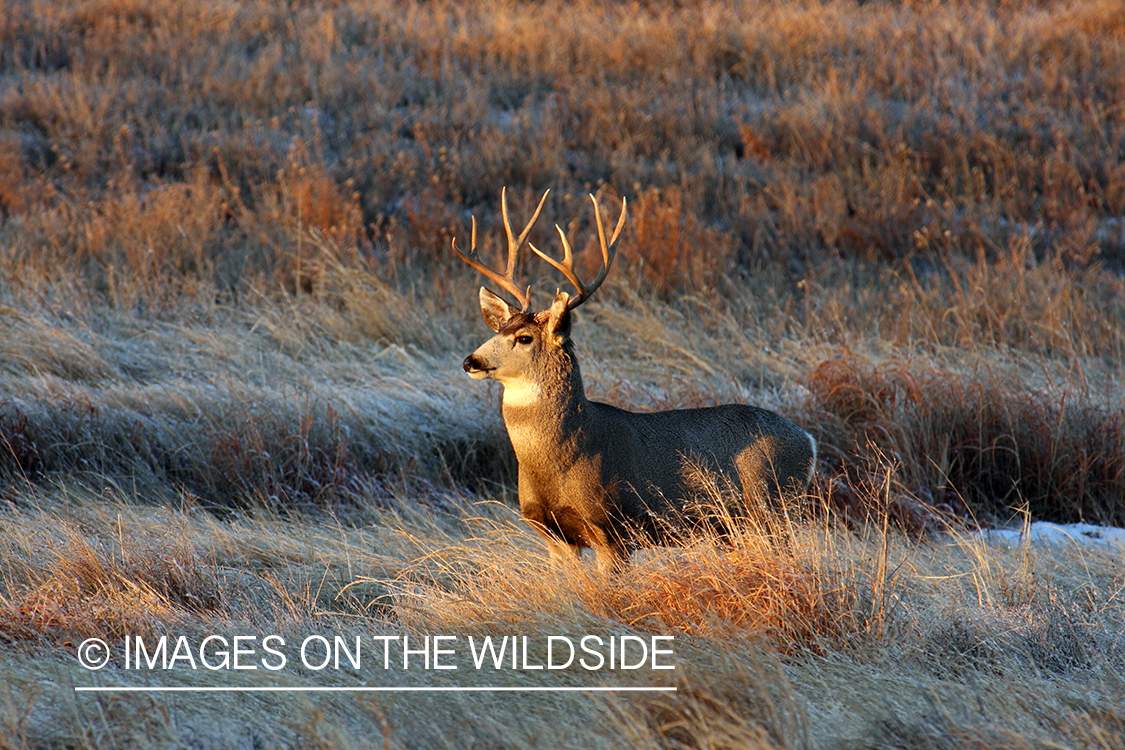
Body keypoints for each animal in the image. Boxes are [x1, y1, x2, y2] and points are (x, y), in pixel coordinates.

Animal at [456, 188, 819, 575]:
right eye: (498, 330)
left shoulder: (613, 527)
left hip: (773, 506)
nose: (470, 361)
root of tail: (809, 441)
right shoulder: (552, 535)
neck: (560, 459)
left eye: (524, 338)